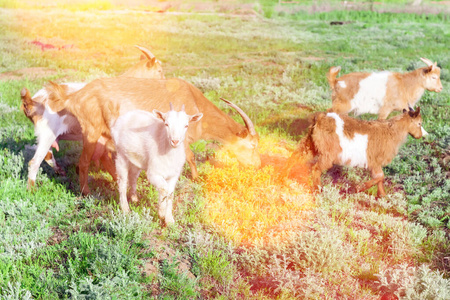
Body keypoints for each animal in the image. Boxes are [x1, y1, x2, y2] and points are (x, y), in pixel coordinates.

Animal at [20, 45, 163, 189]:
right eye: (159, 70)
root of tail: (32, 102)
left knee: (48, 156)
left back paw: (61, 171)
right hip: (47, 134)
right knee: (35, 162)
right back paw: (32, 189)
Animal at [45, 76, 260, 196]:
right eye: (252, 145)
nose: (256, 165)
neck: (194, 101)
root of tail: (75, 96)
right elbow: (190, 157)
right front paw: (196, 178)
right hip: (91, 130)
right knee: (83, 162)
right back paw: (86, 192)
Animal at [286, 106, 428, 197]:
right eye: (419, 123)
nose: (424, 135)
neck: (391, 131)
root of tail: (319, 118)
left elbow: (380, 178)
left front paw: (382, 196)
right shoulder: (374, 161)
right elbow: (380, 176)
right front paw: (357, 188)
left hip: (310, 143)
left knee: (295, 157)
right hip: (327, 153)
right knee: (316, 168)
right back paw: (318, 190)